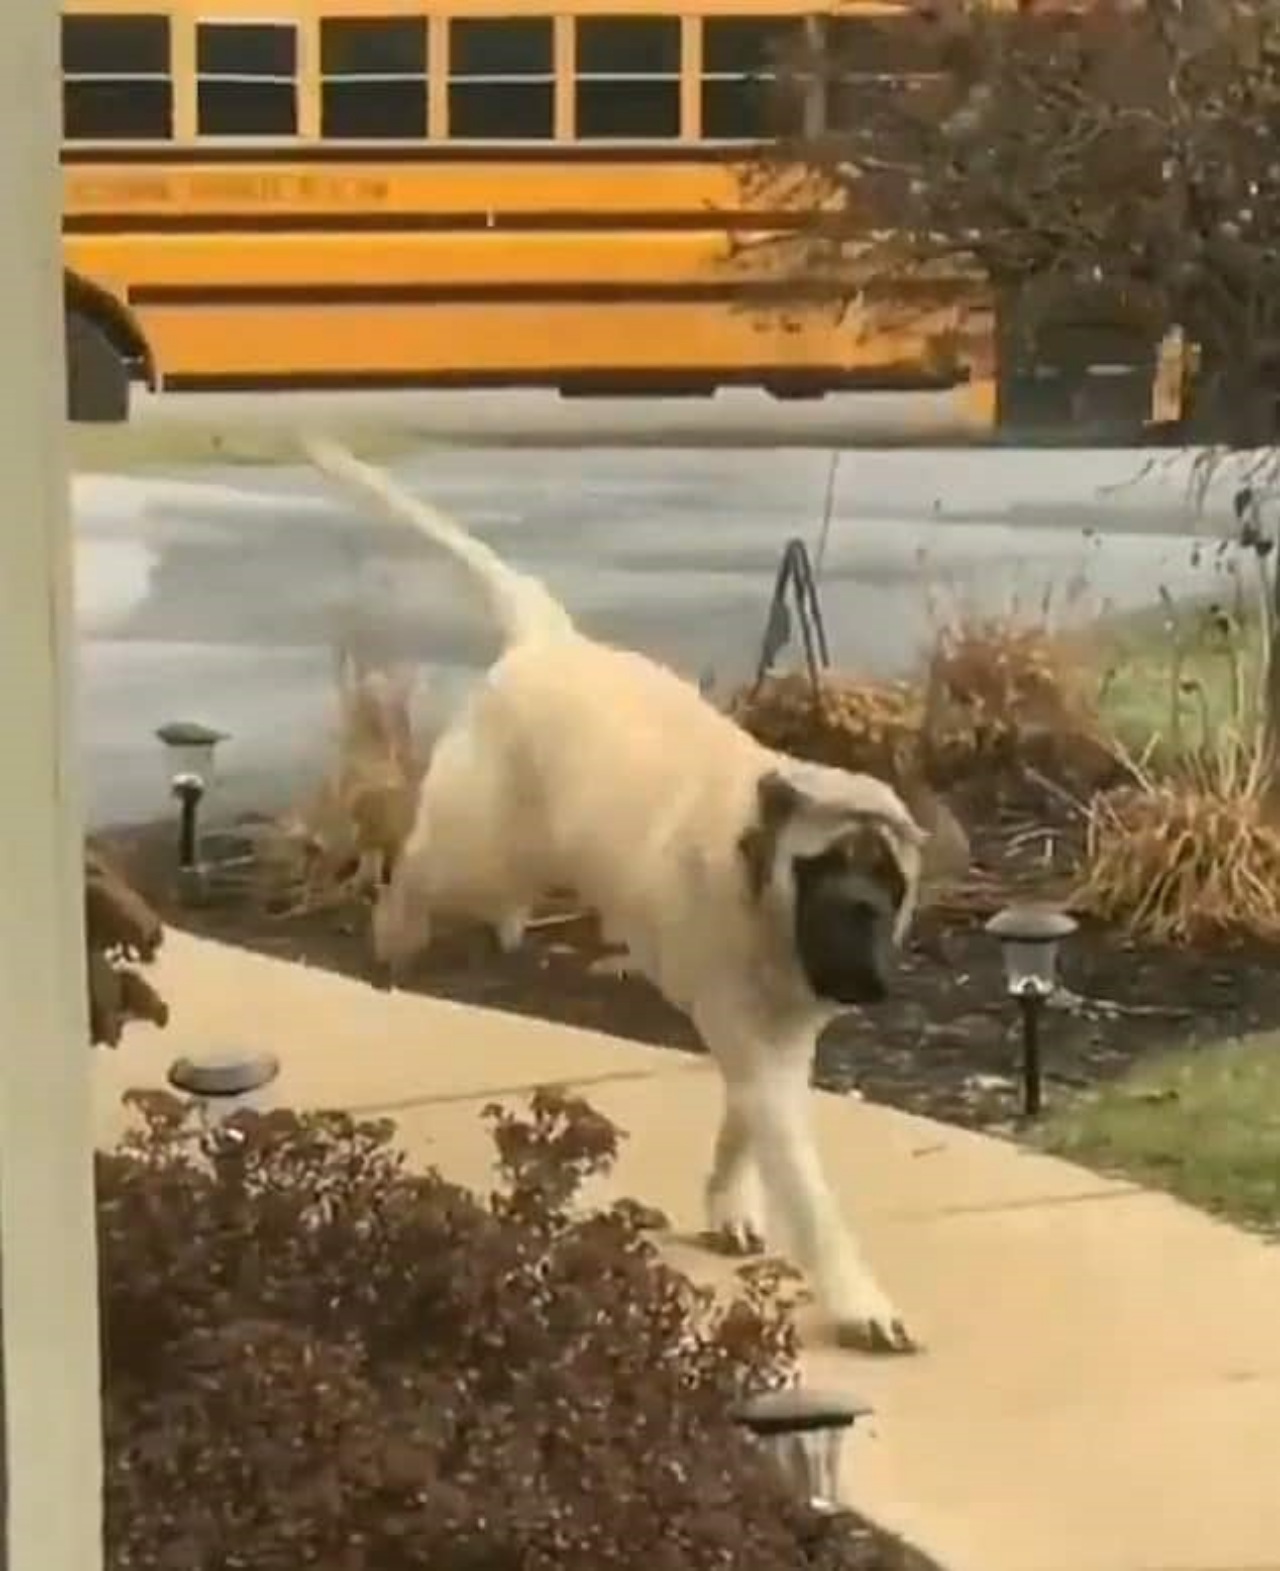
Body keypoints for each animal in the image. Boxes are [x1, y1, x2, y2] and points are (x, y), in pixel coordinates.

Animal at [310, 439, 929, 1351]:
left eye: (890, 882)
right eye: (829, 870)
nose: (872, 971)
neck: (760, 873)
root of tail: (550, 638)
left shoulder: (778, 1040)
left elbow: (745, 1126)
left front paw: (730, 1203)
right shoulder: (758, 1039)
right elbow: (805, 1184)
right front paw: (860, 1299)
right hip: (482, 841)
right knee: (417, 867)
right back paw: (396, 933)